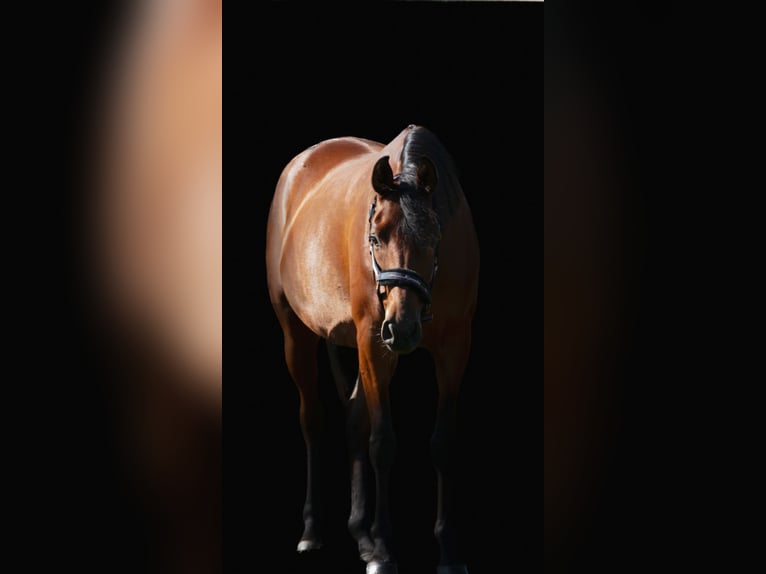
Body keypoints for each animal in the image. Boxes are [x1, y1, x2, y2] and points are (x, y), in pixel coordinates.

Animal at [266, 124, 479, 574]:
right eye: (375, 237)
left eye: (435, 235)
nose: (402, 326)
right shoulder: (372, 341)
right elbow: (382, 443)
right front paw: (384, 550)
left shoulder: (455, 346)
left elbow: (443, 443)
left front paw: (449, 552)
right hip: (300, 334)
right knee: (313, 420)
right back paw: (313, 531)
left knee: (353, 420)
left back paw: (360, 534)